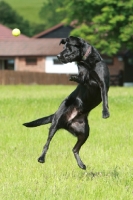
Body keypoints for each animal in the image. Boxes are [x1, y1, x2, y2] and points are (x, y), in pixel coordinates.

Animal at [22, 36, 109, 170]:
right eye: (63, 47)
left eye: (69, 48)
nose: (57, 56)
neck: (86, 62)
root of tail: (68, 121)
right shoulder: (86, 79)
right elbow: (83, 79)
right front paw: (74, 77)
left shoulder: (102, 84)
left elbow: (104, 98)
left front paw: (105, 113)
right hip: (55, 123)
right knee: (47, 143)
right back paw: (41, 158)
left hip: (84, 132)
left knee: (74, 149)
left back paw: (81, 164)